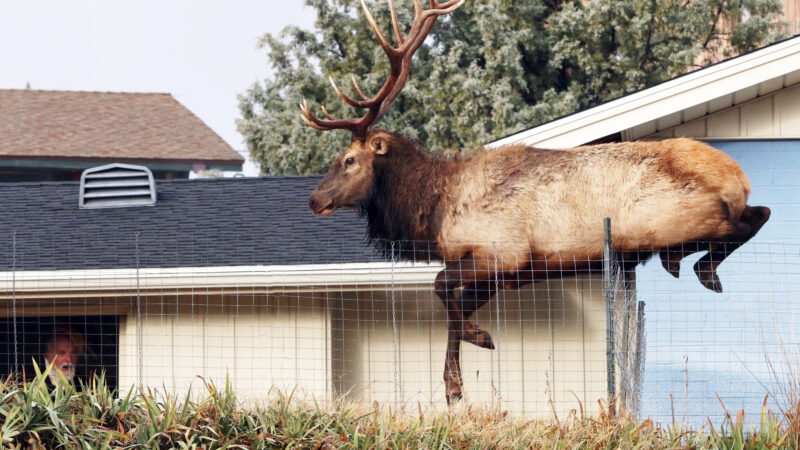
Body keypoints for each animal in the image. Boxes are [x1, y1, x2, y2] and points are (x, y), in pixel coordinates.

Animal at [303, 0, 771, 404]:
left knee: (748, 220)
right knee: (759, 212)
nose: (314, 199)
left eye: (348, 160)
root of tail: (737, 177)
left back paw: (698, 267)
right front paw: (454, 385)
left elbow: (440, 287)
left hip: (675, 218)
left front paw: (475, 344)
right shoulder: (507, 272)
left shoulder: (502, 252)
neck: (434, 215)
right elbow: (455, 306)